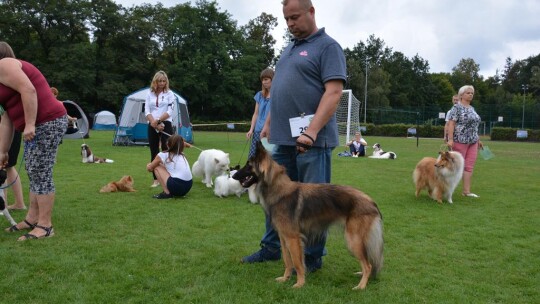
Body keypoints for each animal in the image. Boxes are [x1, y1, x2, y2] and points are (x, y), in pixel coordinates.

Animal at [233, 141, 384, 288]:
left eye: (248, 165)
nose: (233, 175)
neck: (277, 189)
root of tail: (371, 201)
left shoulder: (293, 239)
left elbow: (297, 262)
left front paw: (299, 283)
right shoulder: (283, 237)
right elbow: (287, 260)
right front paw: (285, 278)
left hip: (353, 240)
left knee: (368, 265)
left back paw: (361, 286)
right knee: (368, 262)